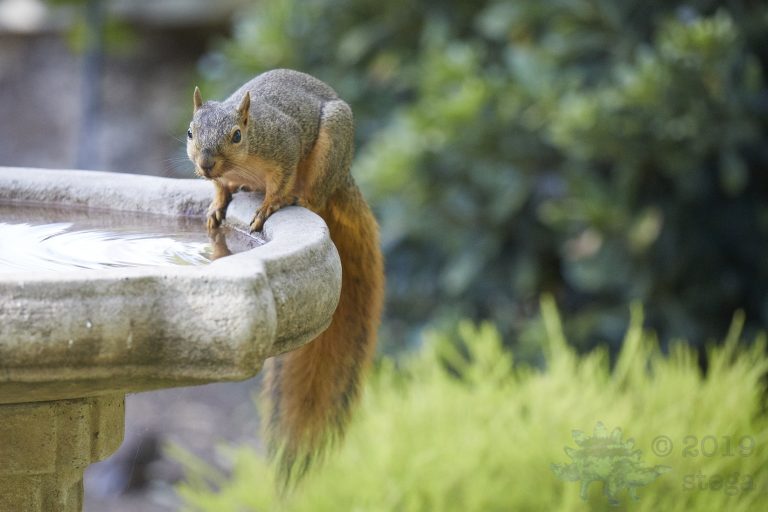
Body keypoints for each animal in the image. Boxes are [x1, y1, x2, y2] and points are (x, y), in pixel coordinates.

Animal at [186, 69, 384, 484]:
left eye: (237, 136)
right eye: (190, 132)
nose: (206, 164)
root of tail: (344, 176)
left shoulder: (285, 145)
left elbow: (280, 182)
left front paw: (267, 207)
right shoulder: (221, 175)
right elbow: (220, 188)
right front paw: (216, 204)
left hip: (330, 151)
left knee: (313, 194)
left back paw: (299, 199)